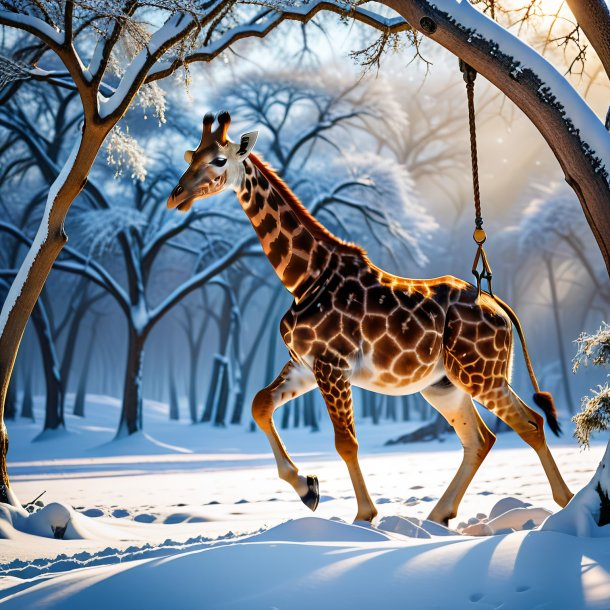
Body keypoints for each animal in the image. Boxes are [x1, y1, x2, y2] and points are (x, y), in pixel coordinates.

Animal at [166, 113, 568, 524]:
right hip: (445, 385)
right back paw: (439, 515)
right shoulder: (306, 365)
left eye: (218, 160)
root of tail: (499, 306)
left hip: (481, 375)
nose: (176, 195)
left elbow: (346, 442)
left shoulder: (332, 365)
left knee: (530, 423)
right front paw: (308, 488)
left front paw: (362, 516)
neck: (305, 278)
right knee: (481, 439)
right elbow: (259, 405)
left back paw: (565, 503)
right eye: (191, 155)